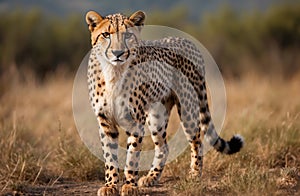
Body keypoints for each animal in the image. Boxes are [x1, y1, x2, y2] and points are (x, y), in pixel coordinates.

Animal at [85, 10, 244, 196]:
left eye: (128, 35)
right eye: (105, 35)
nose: (118, 52)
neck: (114, 72)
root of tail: (186, 40)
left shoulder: (136, 120)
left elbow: (132, 155)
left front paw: (130, 186)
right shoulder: (106, 121)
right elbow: (110, 157)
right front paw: (110, 185)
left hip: (188, 109)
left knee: (197, 141)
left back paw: (194, 174)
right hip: (156, 116)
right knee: (164, 146)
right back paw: (151, 177)